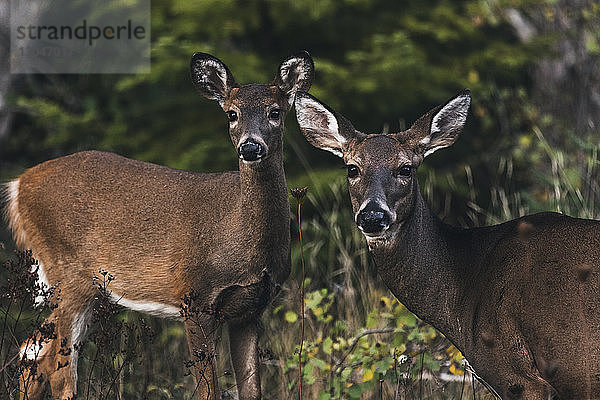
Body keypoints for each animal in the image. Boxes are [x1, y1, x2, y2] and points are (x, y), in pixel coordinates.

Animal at [2, 50, 314, 400]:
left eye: (276, 111)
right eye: (232, 114)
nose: (250, 146)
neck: (244, 241)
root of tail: (18, 185)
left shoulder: (250, 311)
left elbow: (251, 389)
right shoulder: (195, 298)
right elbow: (208, 390)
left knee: (32, 351)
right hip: (68, 274)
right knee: (57, 367)